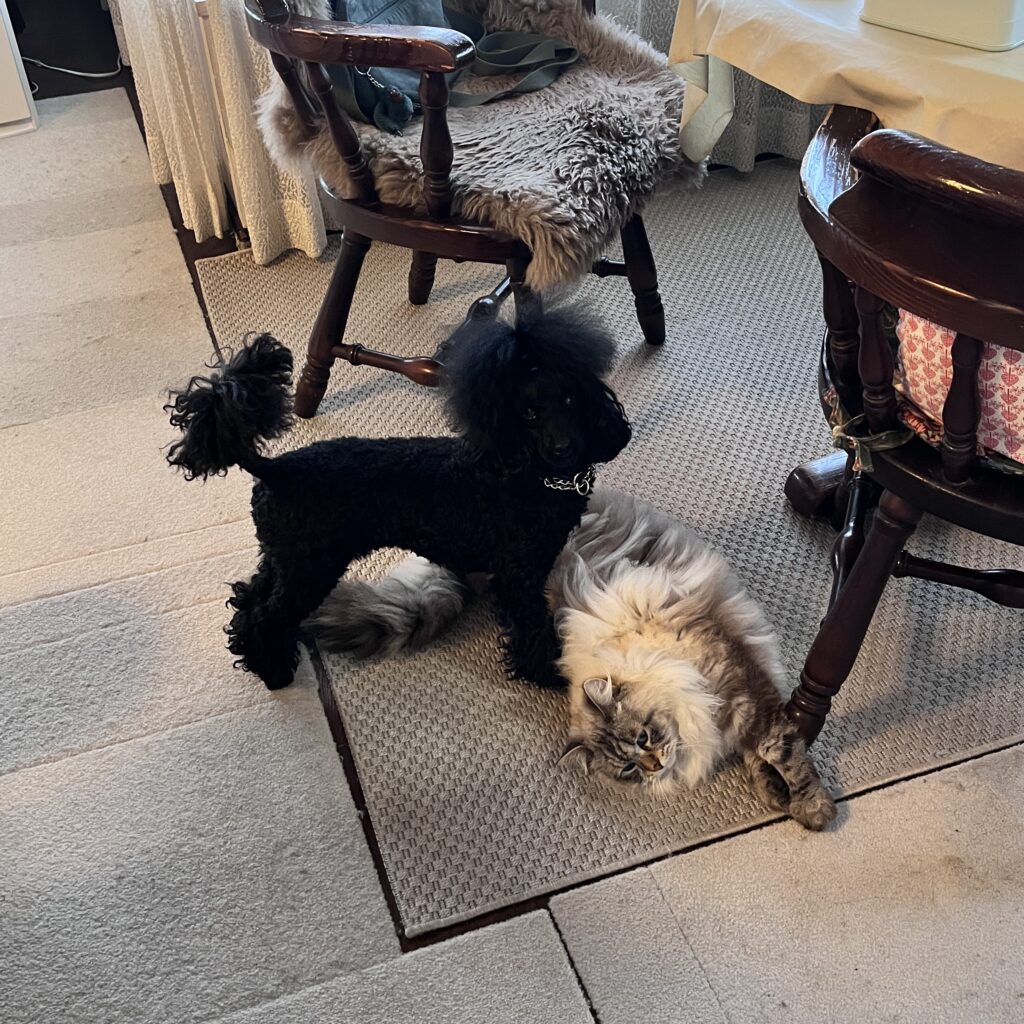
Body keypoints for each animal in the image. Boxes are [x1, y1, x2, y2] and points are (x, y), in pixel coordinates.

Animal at [165, 308, 631, 691]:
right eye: (530, 414)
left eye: (570, 399)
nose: (563, 448)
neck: (522, 470)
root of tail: (274, 469)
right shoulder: (519, 574)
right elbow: (533, 627)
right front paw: (549, 674)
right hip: (310, 567)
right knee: (267, 616)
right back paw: (275, 673)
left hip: (284, 557)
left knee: (248, 598)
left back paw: (254, 657)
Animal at [310, 489, 837, 830]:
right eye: (627, 770)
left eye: (643, 737)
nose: (653, 767)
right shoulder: (734, 710)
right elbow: (763, 758)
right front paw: (780, 797)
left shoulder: (744, 695)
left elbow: (783, 753)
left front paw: (814, 810)